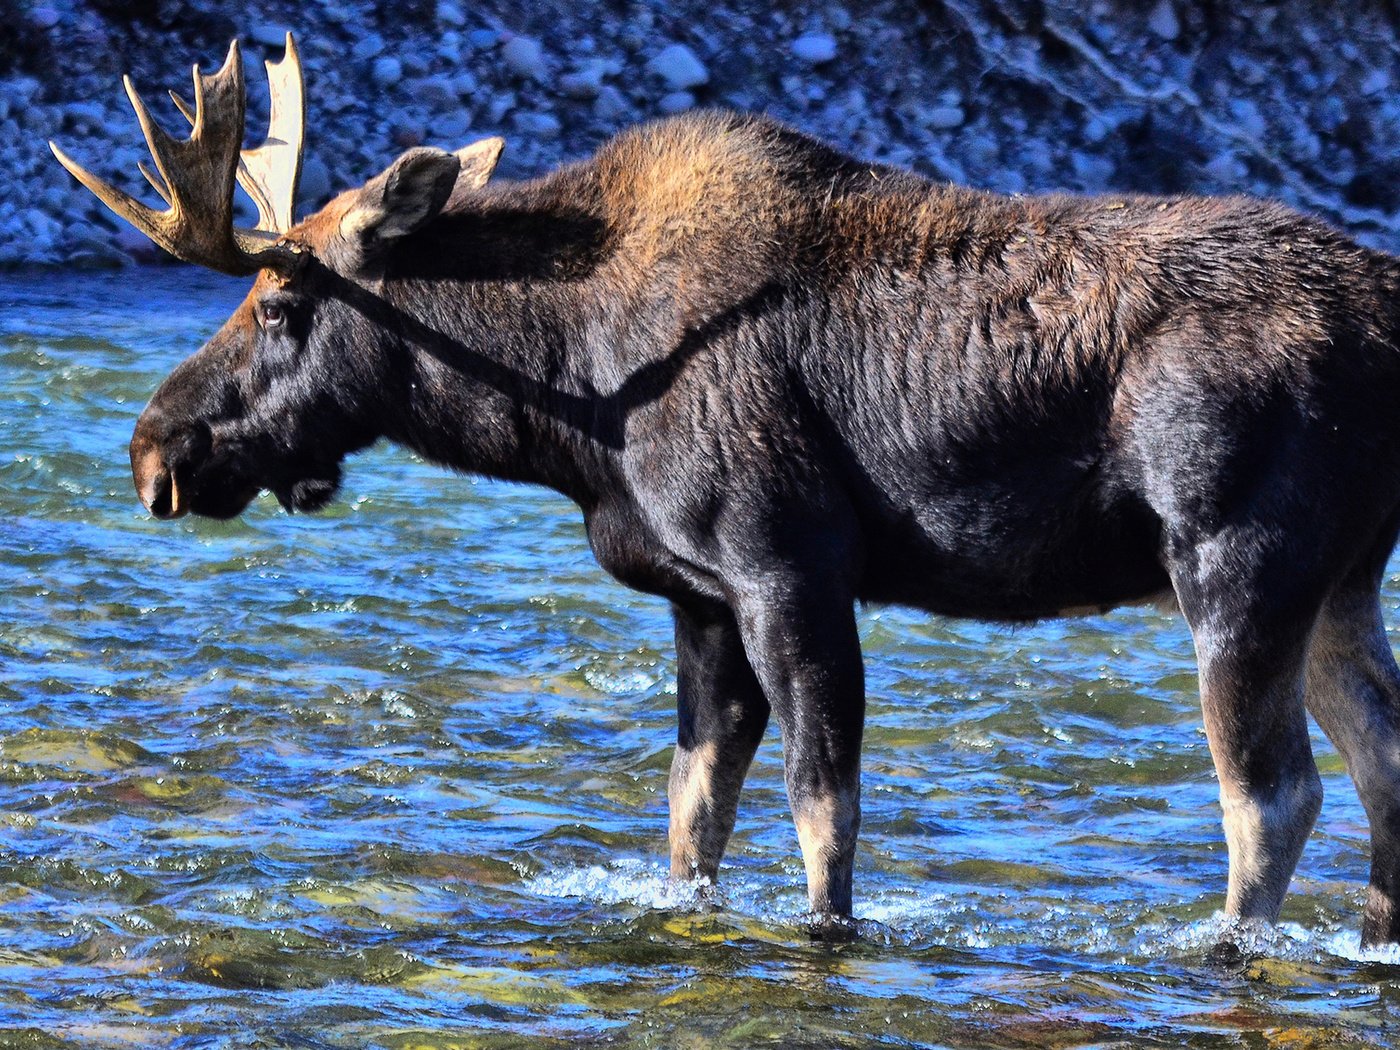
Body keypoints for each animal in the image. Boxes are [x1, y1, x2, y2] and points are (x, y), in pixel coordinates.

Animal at [54, 37, 1400, 952]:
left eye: (280, 302)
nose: (155, 452)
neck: (564, 394)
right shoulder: (695, 596)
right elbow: (691, 815)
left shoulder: (783, 562)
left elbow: (821, 805)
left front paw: (823, 939)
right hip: (1341, 579)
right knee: (1378, 760)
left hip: (1232, 560)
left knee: (1271, 794)